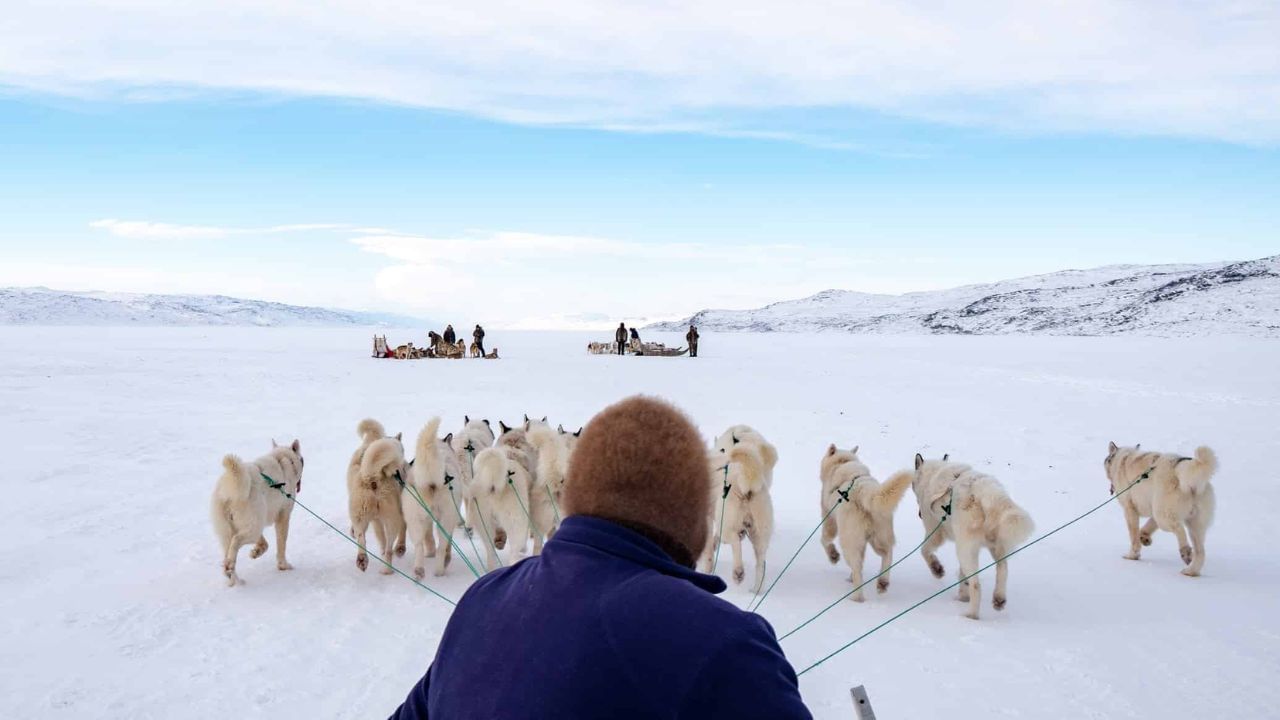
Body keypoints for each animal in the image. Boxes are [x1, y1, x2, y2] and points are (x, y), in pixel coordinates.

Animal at [1105, 440, 1213, 573]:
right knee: (1200, 552)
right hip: (1193, 524)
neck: (1123, 459)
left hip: (1164, 517)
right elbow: (1146, 527)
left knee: (1179, 529)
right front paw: (1144, 537)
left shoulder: (1130, 510)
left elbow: (1134, 537)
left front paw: (1132, 555)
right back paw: (1190, 571)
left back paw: (1185, 551)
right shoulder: (1153, 510)